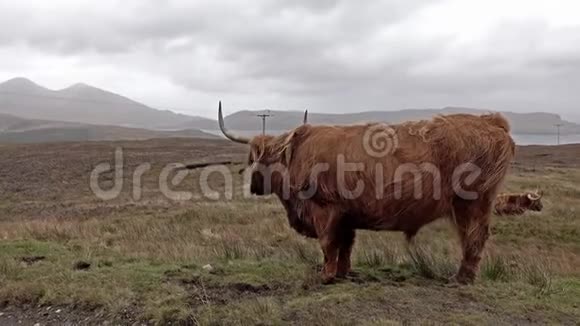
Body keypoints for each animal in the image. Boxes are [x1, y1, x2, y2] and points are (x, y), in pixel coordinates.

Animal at [219, 103, 516, 284]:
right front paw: (342, 273)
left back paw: (461, 278)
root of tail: (492, 120)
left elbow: (328, 244)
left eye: (264, 159)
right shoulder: (346, 215)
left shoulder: (324, 208)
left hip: (472, 203)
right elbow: (345, 246)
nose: (254, 186)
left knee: (474, 237)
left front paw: (325, 275)